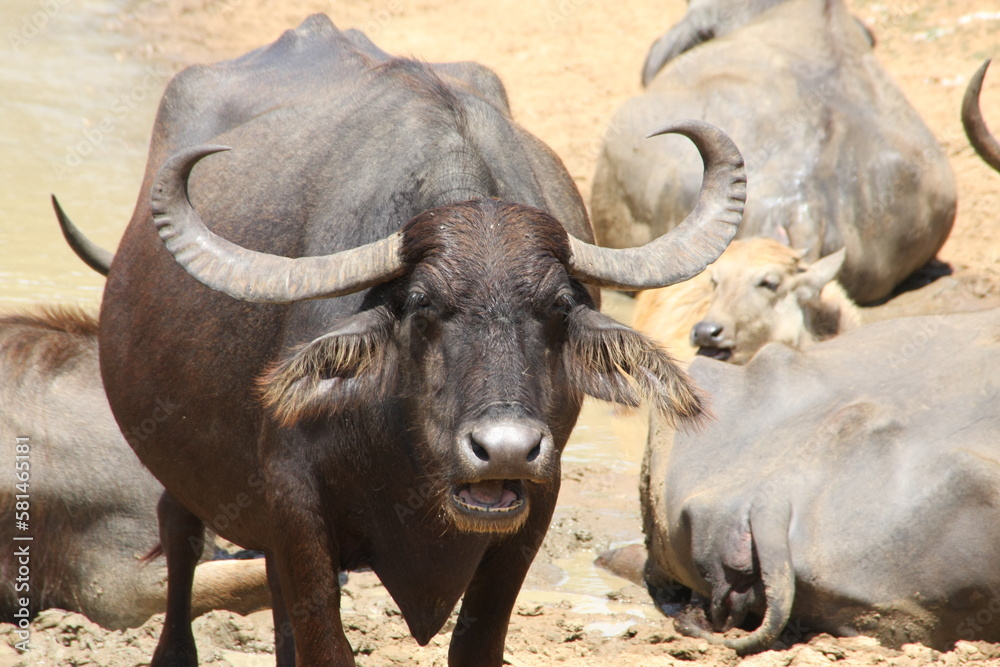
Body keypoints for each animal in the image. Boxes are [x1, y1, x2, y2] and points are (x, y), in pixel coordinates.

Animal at [60, 16, 746, 665]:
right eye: (421, 306)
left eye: (556, 307)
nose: (503, 450)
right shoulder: (295, 502)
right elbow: (326, 643)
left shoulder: (534, 505)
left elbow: (474, 644)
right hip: (174, 467)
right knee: (180, 538)